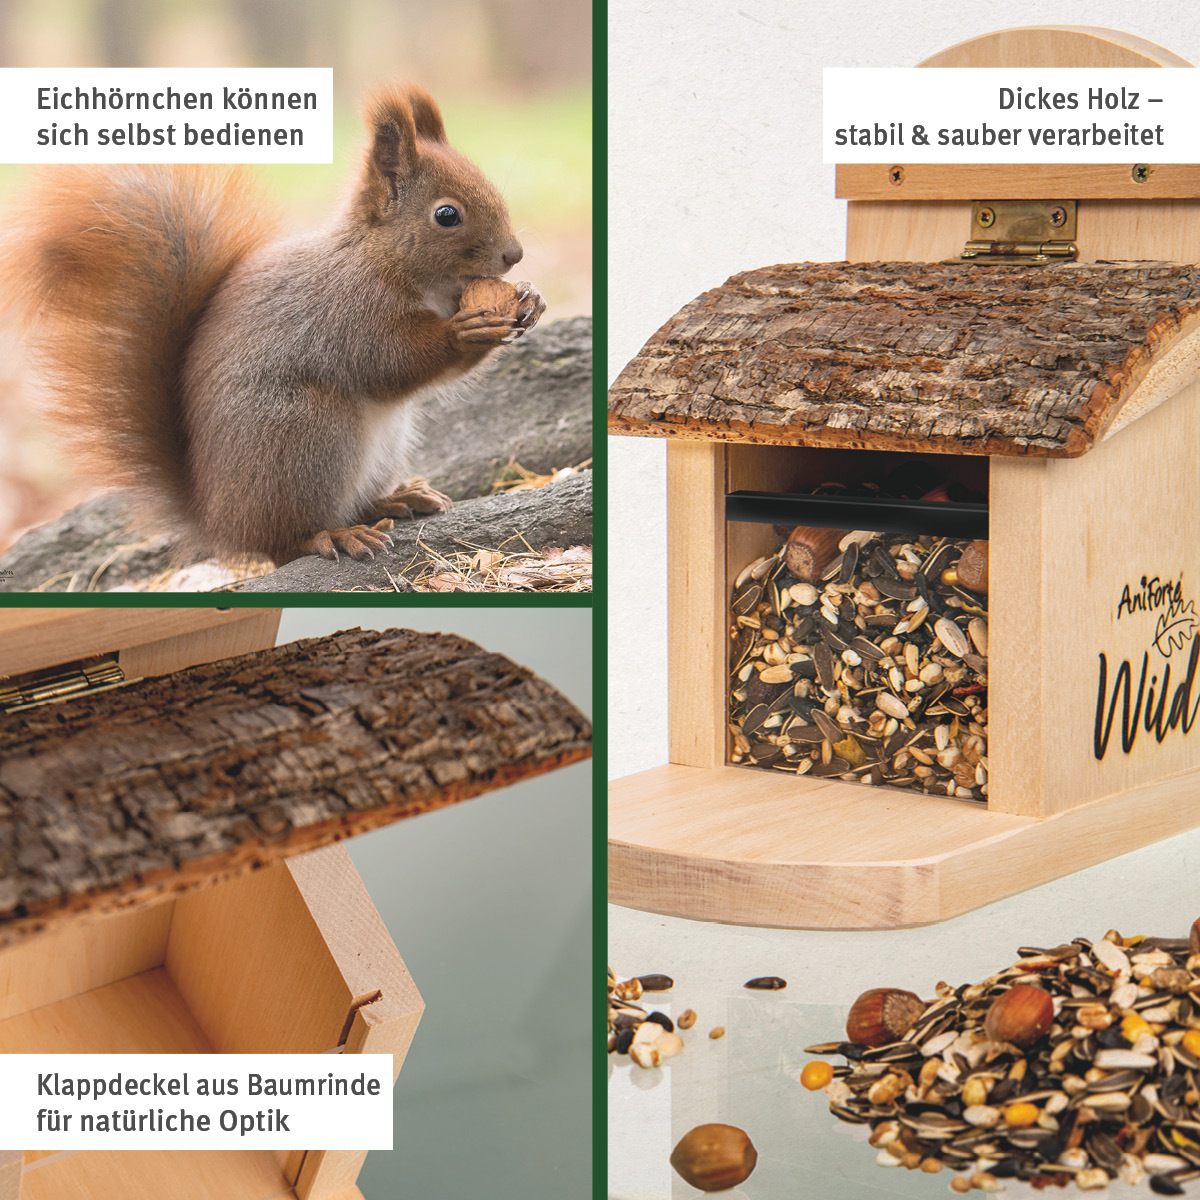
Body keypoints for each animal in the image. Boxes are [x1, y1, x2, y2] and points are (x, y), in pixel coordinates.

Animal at [3, 83, 545, 565]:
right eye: (446, 215)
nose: (514, 255)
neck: (385, 260)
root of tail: (221, 523)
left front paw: (531, 301)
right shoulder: (348, 312)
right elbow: (389, 362)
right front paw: (465, 331)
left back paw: (394, 500)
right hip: (306, 437)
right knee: (283, 542)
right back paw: (334, 536)